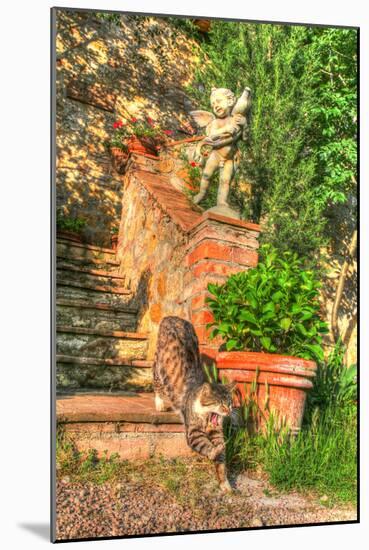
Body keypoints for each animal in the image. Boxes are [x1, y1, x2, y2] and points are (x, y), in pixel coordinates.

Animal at [153, 316, 234, 494]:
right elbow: (205, 444)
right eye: (219, 403)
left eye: (230, 403)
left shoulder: (217, 432)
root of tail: (171, 317)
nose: (227, 411)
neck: (206, 418)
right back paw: (160, 403)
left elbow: (221, 462)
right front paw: (215, 450)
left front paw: (225, 483)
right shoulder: (193, 431)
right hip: (158, 365)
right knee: (156, 383)